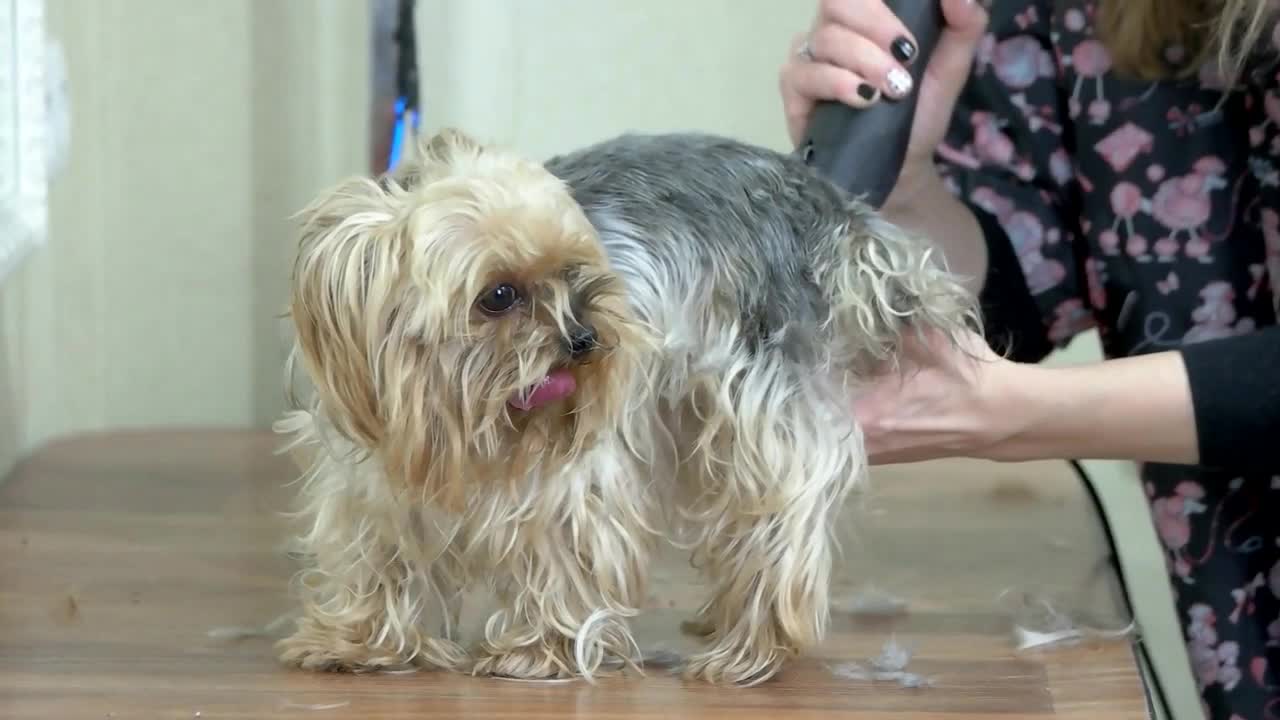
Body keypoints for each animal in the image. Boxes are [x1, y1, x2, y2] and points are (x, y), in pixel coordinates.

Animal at [272, 128, 977, 681]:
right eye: (498, 295)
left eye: (578, 275)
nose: (584, 339)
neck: (459, 409)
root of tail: (820, 196)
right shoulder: (372, 474)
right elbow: (377, 554)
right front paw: (359, 641)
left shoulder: (571, 473)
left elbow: (566, 546)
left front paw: (542, 649)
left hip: (754, 394)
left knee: (778, 514)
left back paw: (751, 648)